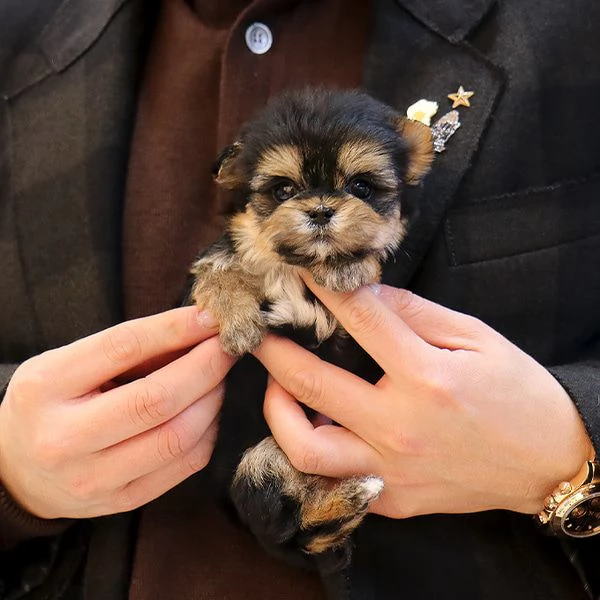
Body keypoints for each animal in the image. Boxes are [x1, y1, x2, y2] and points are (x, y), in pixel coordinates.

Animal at [191, 90, 432, 572]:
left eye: (361, 187)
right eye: (284, 190)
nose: (320, 210)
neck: (296, 270)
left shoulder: (345, 341)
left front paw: (345, 265)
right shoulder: (229, 254)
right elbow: (218, 264)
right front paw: (238, 317)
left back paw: (356, 492)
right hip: (257, 461)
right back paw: (354, 493)